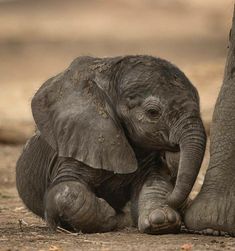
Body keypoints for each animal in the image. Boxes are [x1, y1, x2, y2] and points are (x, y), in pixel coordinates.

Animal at [16, 56, 206, 234]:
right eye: (153, 113)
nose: (172, 199)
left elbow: (155, 181)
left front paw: (161, 219)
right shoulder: (79, 140)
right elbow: (65, 190)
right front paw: (111, 214)